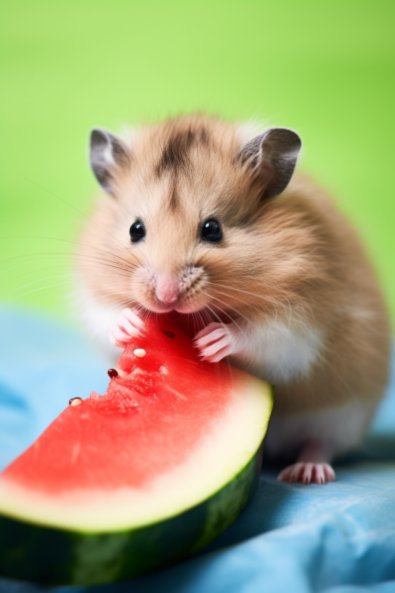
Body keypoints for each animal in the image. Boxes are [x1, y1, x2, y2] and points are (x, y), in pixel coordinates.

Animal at [75, 113, 392, 484]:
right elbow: (106, 315)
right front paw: (131, 325)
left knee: (322, 443)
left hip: (342, 415)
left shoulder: (301, 324)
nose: (166, 297)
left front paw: (210, 341)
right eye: (134, 229)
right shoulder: (94, 294)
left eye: (213, 229)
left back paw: (306, 473)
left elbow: (261, 334)